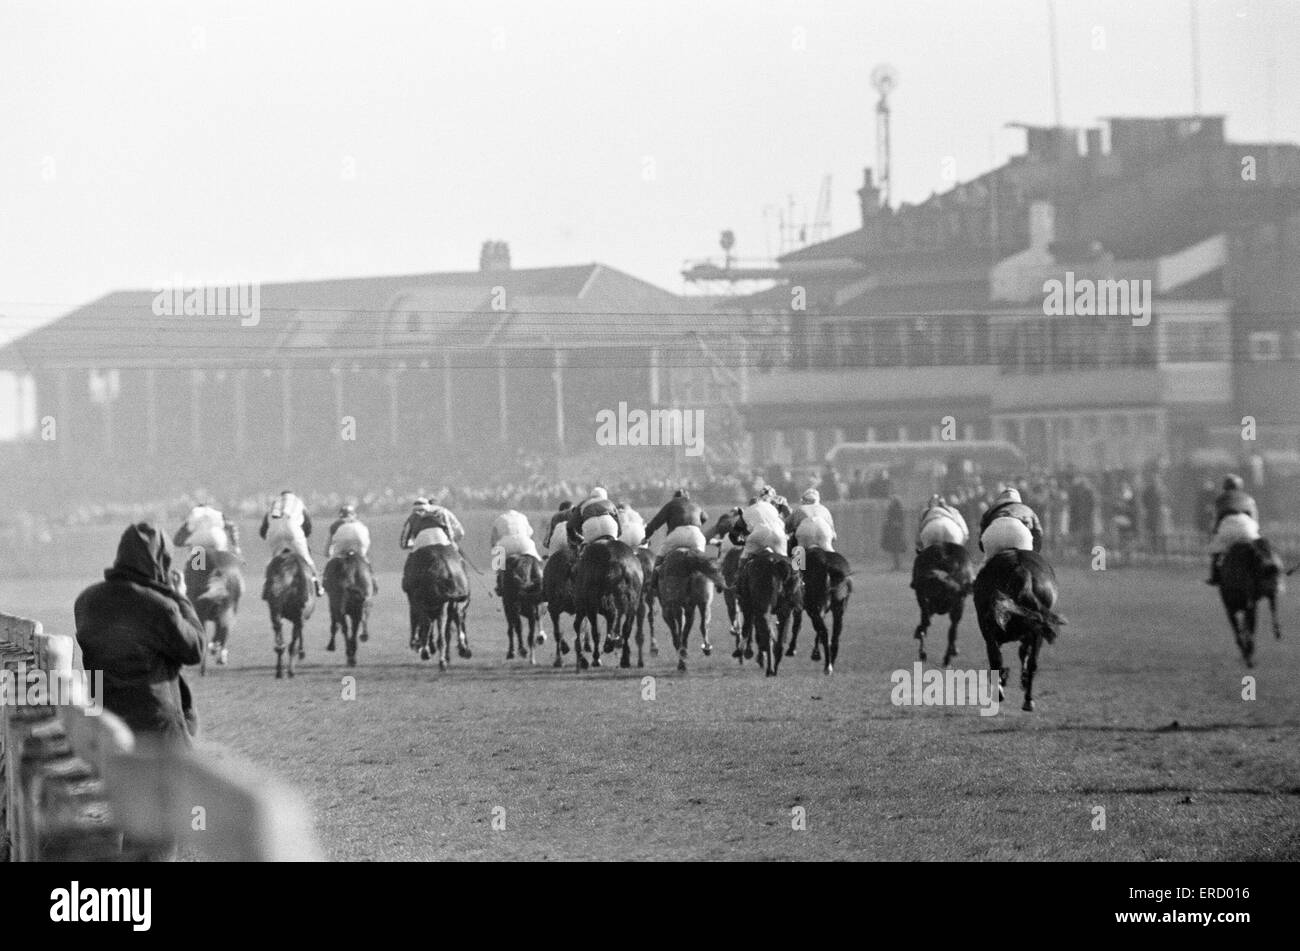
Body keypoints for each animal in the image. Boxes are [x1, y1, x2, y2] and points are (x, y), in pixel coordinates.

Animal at [977, 545, 1066, 711]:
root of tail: (1021, 570)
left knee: (998, 658)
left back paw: (1004, 693)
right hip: (1037, 628)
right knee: (1031, 662)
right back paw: (1028, 699)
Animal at [1211, 537, 1284, 665]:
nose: (1272, 568)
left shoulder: (1244, 607)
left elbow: (1245, 629)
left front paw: (1248, 654)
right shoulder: (1238, 607)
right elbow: (1243, 629)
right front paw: (1247, 652)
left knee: (1272, 608)